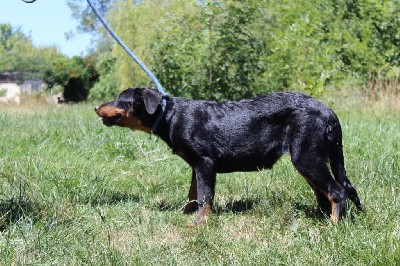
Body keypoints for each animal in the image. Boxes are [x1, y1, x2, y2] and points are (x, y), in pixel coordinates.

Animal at [94, 87, 362, 224]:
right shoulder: (195, 166)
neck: (170, 116)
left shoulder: (205, 163)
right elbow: (193, 194)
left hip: (306, 158)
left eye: (120, 99)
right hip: (310, 160)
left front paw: (199, 224)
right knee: (329, 192)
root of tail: (328, 111)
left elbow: (205, 197)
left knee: (337, 191)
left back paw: (333, 226)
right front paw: (185, 214)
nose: (96, 107)